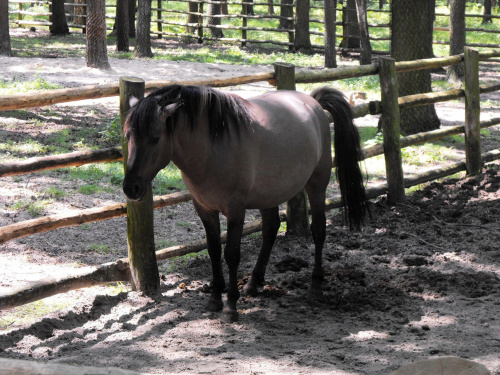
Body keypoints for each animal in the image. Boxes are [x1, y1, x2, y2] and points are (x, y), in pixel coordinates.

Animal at [121, 85, 368, 324]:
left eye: (155, 138)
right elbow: (213, 251)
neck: (212, 148)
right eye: (128, 136)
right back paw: (254, 283)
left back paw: (315, 287)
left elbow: (231, 254)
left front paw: (230, 306)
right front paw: (214, 299)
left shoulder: (235, 211)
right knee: (270, 230)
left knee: (318, 231)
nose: (131, 188)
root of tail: (313, 102)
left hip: (317, 185)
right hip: (269, 195)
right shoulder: (205, 210)